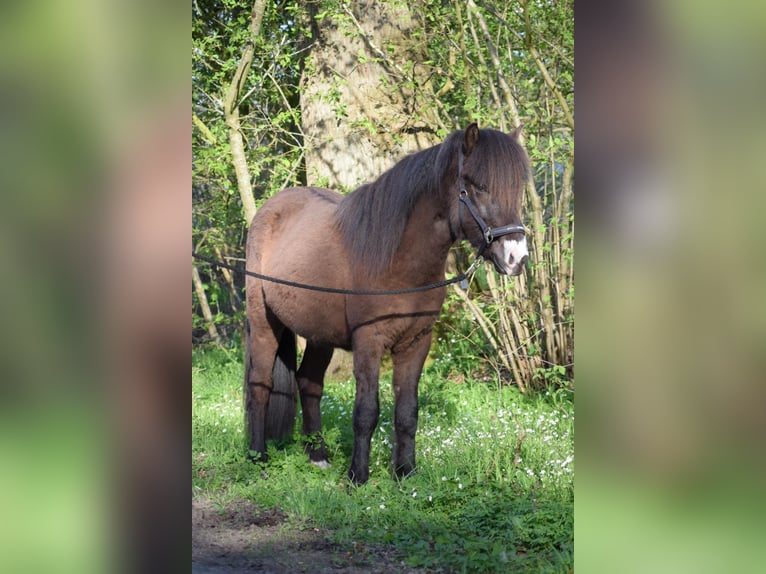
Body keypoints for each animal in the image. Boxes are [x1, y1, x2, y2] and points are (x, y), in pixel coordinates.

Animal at [248, 122, 536, 486]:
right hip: (263, 322)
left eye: (517, 189)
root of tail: (271, 207)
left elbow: (407, 411)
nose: (516, 259)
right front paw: (358, 475)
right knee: (261, 385)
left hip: (319, 334)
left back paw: (318, 456)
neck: (399, 261)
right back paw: (257, 457)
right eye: (479, 187)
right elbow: (366, 411)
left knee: (309, 383)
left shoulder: (416, 343)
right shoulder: (369, 341)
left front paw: (405, 472)